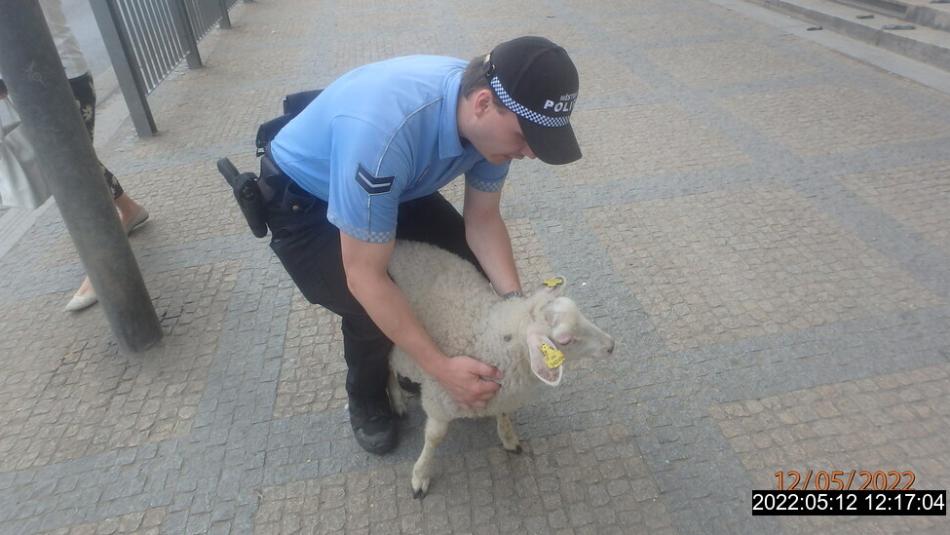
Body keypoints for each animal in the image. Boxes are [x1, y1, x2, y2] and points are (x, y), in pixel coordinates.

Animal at [386, 241, 616, 500]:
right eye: (565, 340)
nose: (611, 346)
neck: (489, 339)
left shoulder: (503, 391)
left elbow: (503, 413)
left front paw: (508, 437)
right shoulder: (440, 398)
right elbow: (434, 437)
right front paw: (421, 474)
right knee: (387, 366)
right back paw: (397, 400)